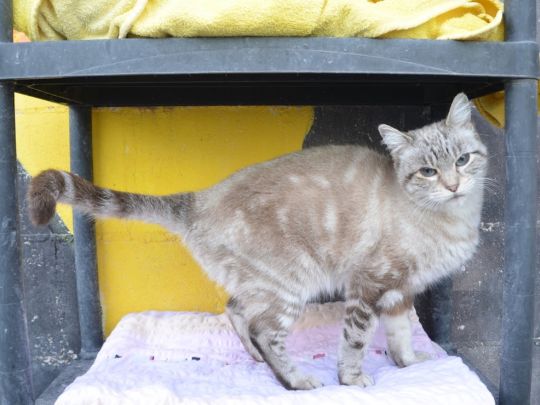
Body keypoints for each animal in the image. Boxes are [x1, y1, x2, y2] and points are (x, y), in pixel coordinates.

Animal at [27, 93, 487, 390]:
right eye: (428, 171)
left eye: (463, 160)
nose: (452, 185)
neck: (450, 220)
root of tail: (201, 198)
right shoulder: (368, 287)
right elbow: (355, 342)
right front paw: (353, 380)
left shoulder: (399, 292)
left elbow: (401, 336)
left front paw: (409, 363)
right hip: (290, 285)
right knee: (265, 330)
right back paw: (297, 380)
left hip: (261, 285)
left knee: (236, 310)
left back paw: (254, 358)